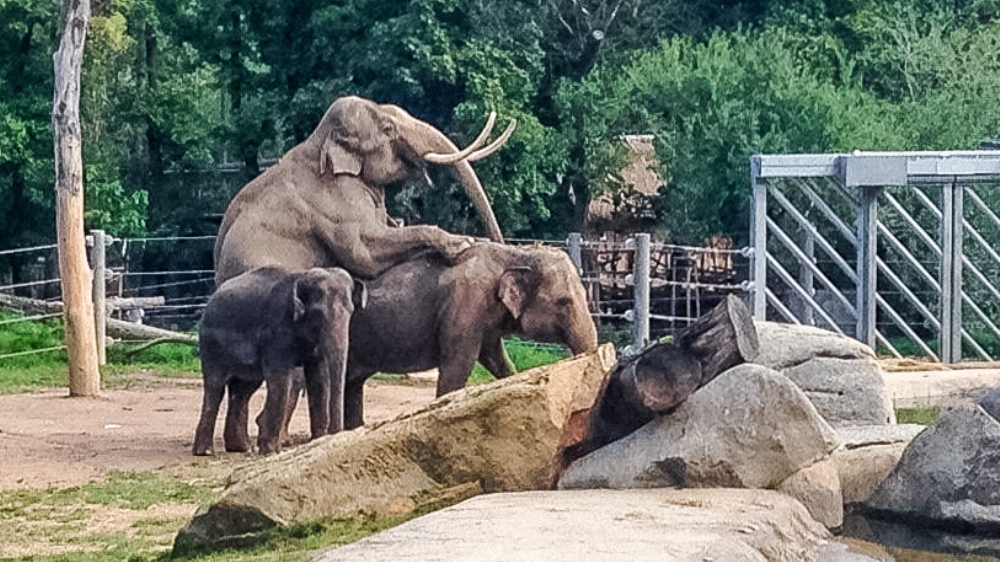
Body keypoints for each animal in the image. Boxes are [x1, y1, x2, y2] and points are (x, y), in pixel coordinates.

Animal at [193, 264, 366, 452]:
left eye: (351, 311)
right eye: (319, 313)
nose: (335, 434)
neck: (301, 276)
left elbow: (318, 378)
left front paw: (318, 441)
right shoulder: (276, 330)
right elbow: (280, 378)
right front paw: (270, 450)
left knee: (243, 389)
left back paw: (242, 448)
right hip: (211, 345)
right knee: (215, 387)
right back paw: (205, 451)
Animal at [217, 95, 516, 284]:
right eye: (388, 129)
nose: (499, 241)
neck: (317, 138)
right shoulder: (332, 201)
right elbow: (364, 251)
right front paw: (463, 242)